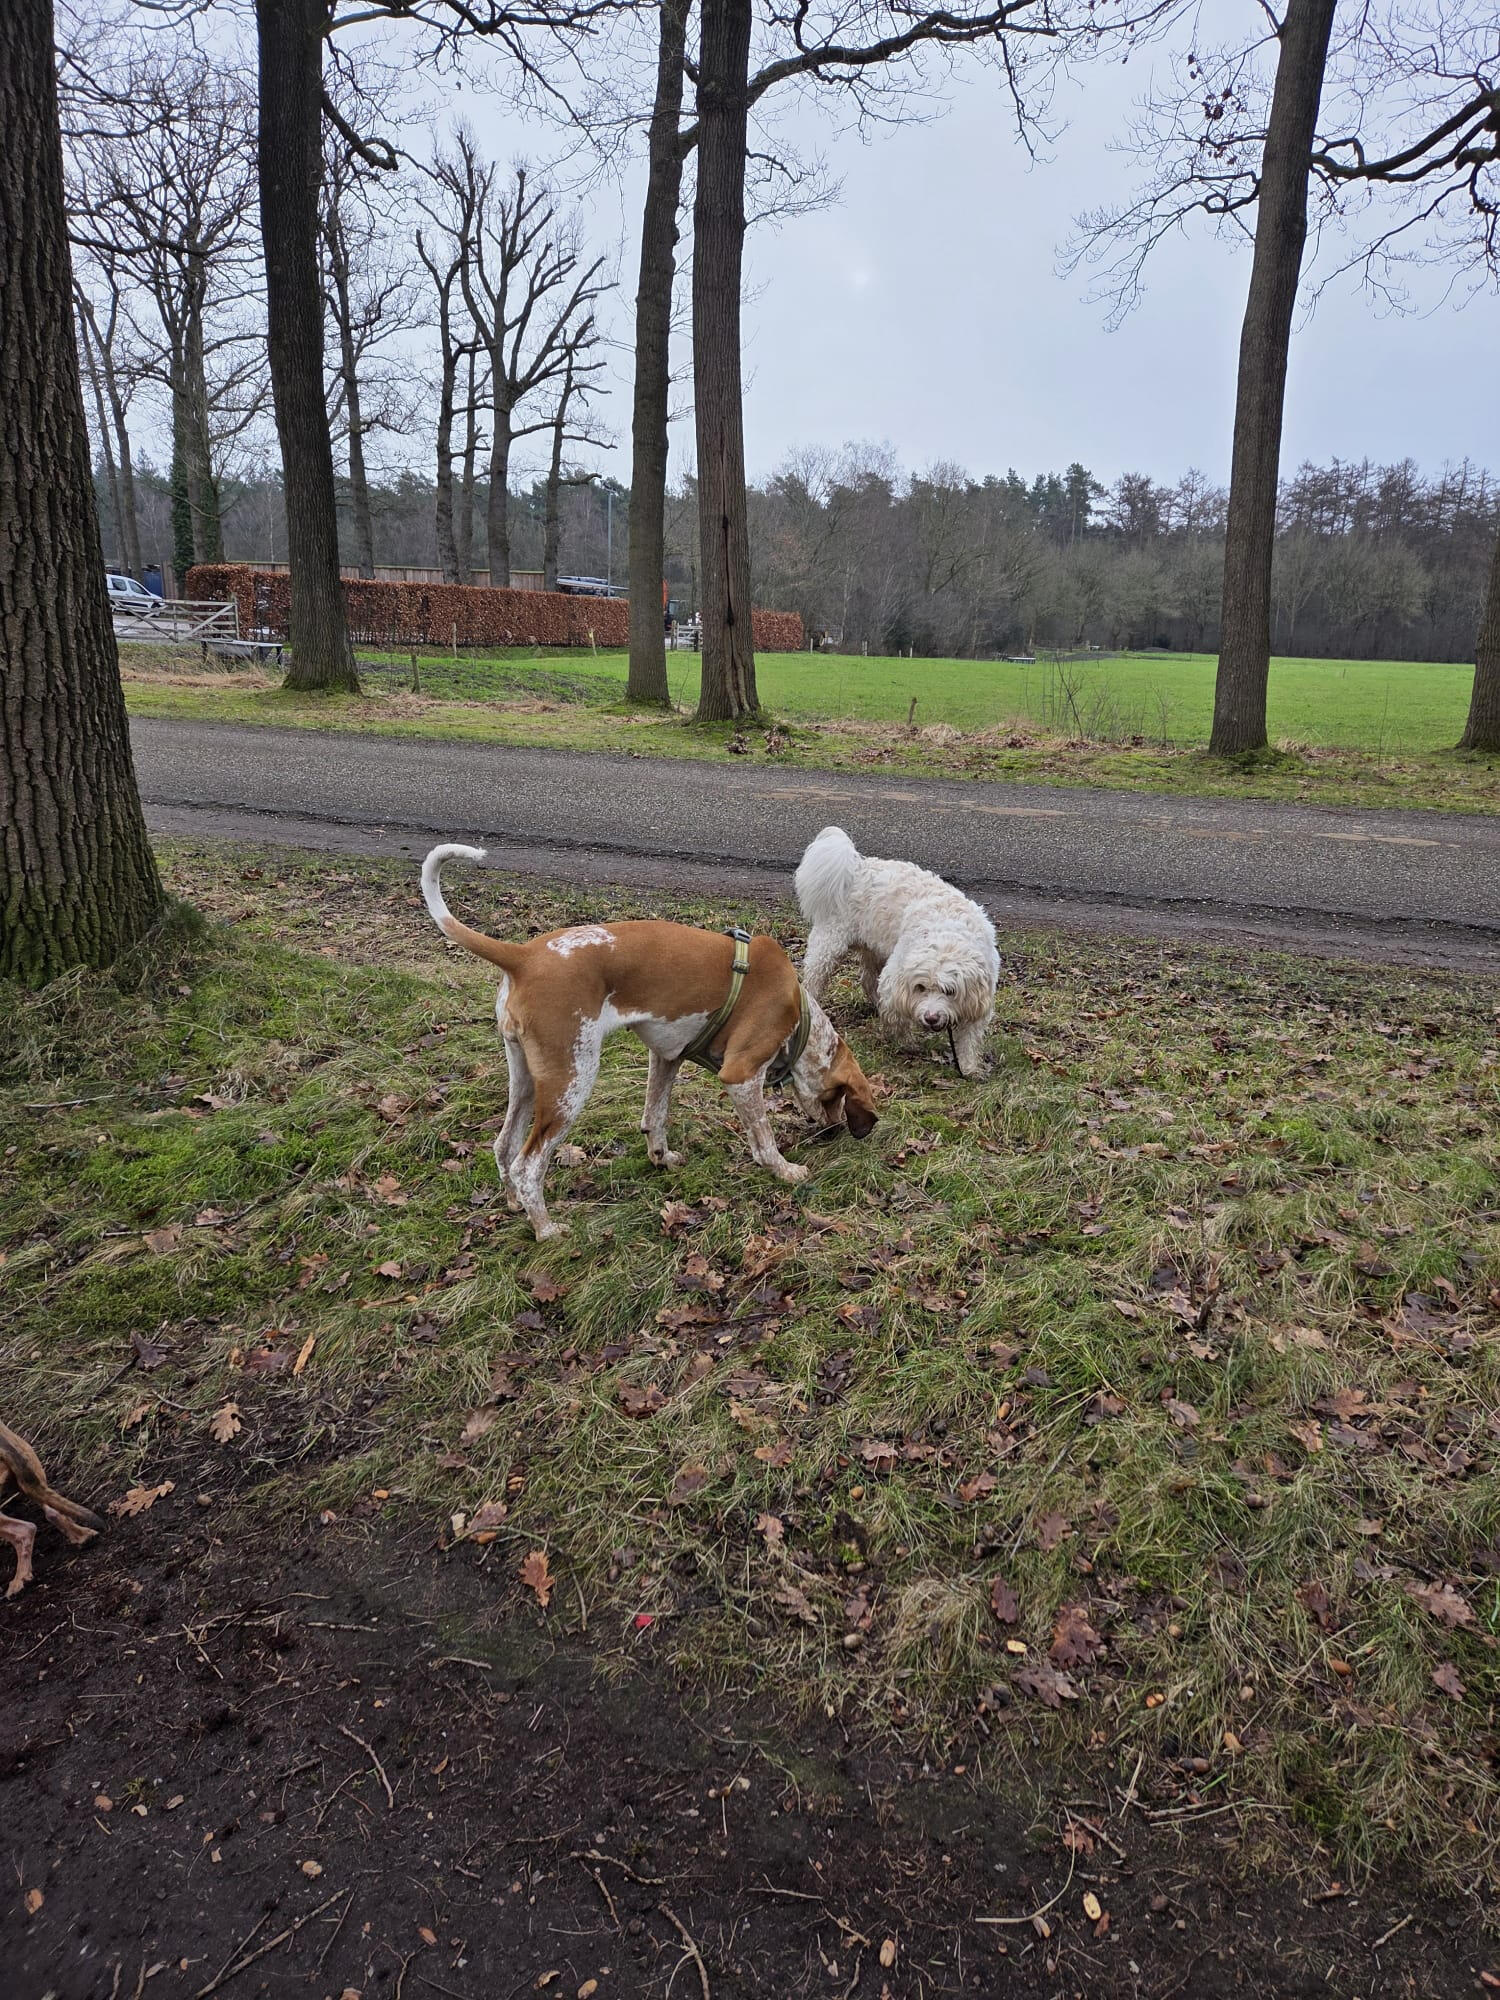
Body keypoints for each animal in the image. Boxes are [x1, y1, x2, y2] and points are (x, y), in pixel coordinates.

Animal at [422, 844, 879, 1239]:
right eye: (837, 1098)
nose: (834, 1133)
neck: (798, 1010)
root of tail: (524, 956)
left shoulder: (666, 1056)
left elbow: (654, 1118)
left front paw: (663, 1159)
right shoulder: (741, 1075)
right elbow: (763, 1139)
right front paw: (784, 1170)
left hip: (527, 1079)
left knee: (503, 1146)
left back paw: (516, 1205)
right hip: (572, 1081)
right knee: (528, 1165)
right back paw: (547, 1231)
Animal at [795, 826, 1000, 1078]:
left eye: (950, 991)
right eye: (920, 987)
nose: (931, 1018)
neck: (949, 934)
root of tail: (857, 867)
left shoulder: (980, 998)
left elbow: (969, 1039)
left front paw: (970, 1068)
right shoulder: (895, 982)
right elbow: (897, 1018)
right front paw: (907, 1043)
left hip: (876, 949)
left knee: (868, 980)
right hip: (829, 944)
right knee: (814, 980)